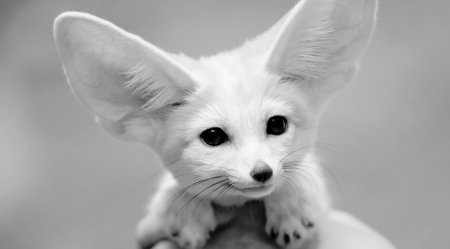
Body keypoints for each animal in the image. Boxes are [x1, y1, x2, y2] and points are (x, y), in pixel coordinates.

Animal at [53, 0, 376, 249]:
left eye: (277, 125)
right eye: (213, 136)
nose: (262, 172)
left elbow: (300, 172)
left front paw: (290, 205)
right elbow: (175, 189)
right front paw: (183, 208)